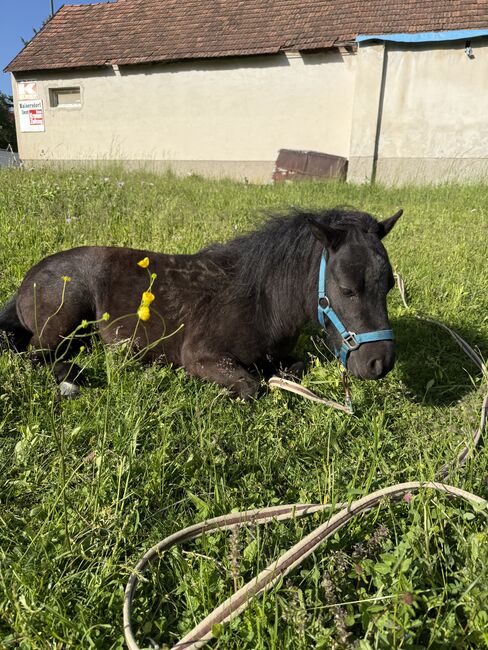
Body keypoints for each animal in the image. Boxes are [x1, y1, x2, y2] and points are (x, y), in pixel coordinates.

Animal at [0, 207, 402, 398]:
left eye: (389, 286)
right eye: (347, 290)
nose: (379, 364)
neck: (262, 300)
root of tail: (28, 279)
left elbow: (292, 369)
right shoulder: (200, 356)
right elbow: (251, 386)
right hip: (64, 316)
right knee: (35, 356)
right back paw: (71, 380)